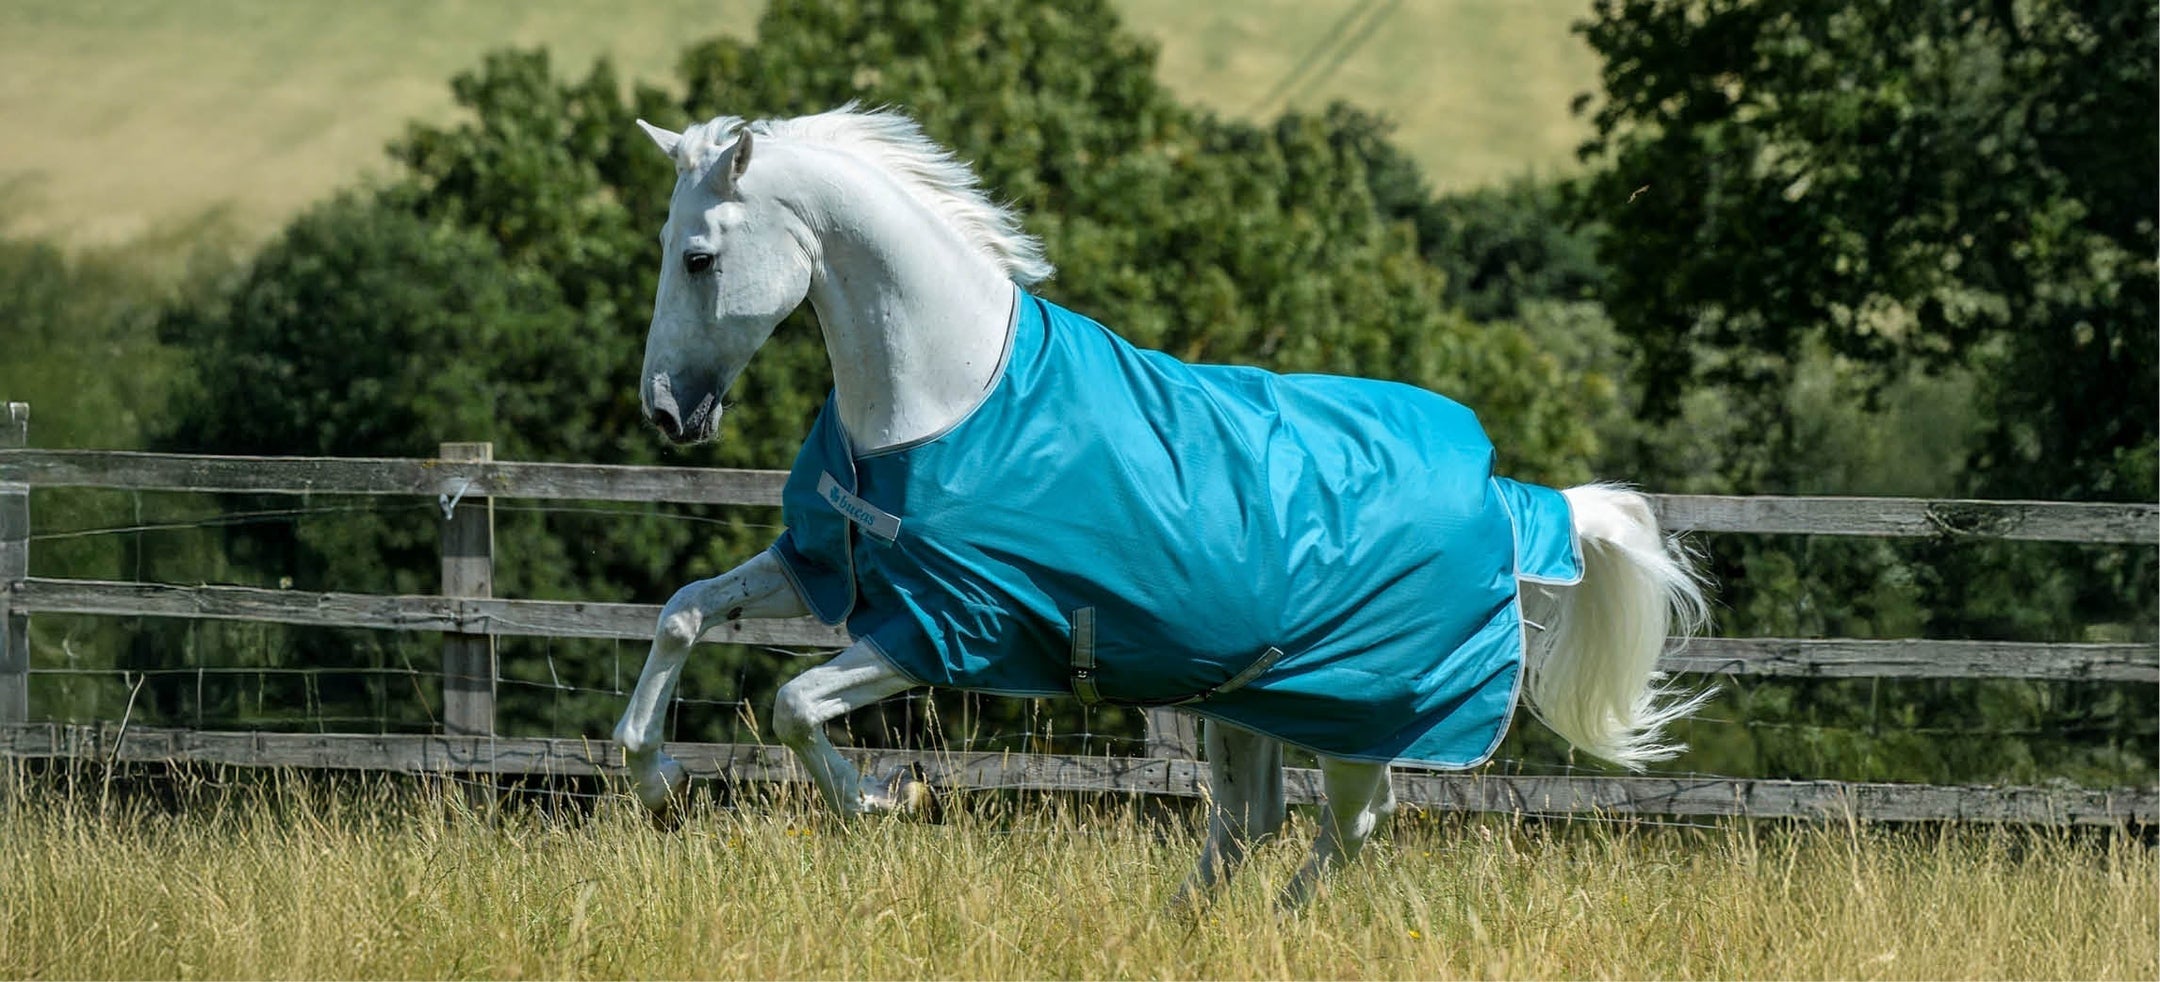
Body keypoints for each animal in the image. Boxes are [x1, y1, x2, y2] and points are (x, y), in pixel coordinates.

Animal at [609, 106, 1711, 909]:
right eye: (660, 244)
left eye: (699, 256)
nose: (666, 411)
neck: (949, 398)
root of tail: (1512, 497)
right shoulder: (825, 562)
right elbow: (684, 612)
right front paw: (654, 779)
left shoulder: (954, 627)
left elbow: (793, 701)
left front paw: (885, 799)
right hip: (1252, 700)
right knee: (1251, 823)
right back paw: (1184, 923)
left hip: (1361, 711)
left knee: (1350, 823)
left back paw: (1275, 925)